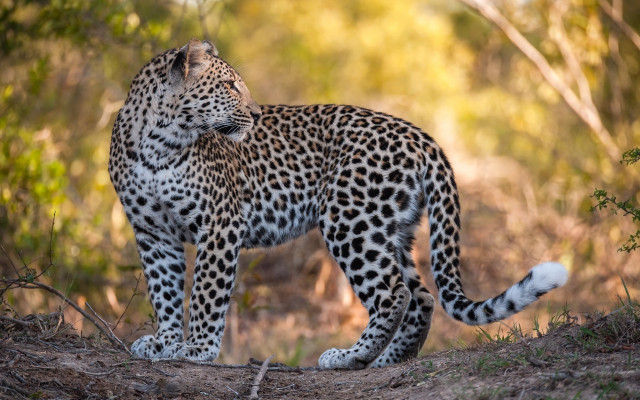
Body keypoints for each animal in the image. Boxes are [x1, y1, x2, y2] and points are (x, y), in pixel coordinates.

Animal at [109, 38, 568, 369]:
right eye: (229, 86)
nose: (255, 114)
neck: (158, 143)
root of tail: (420, 135)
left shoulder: (220, 224)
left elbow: (206, 290)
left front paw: (198, 348)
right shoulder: (152, 232)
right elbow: (164, 291)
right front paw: (165, 343)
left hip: (351, 219)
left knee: (394, 293)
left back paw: (349, 355)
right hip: (390, 227)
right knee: (421, 296)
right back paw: (383, 361)